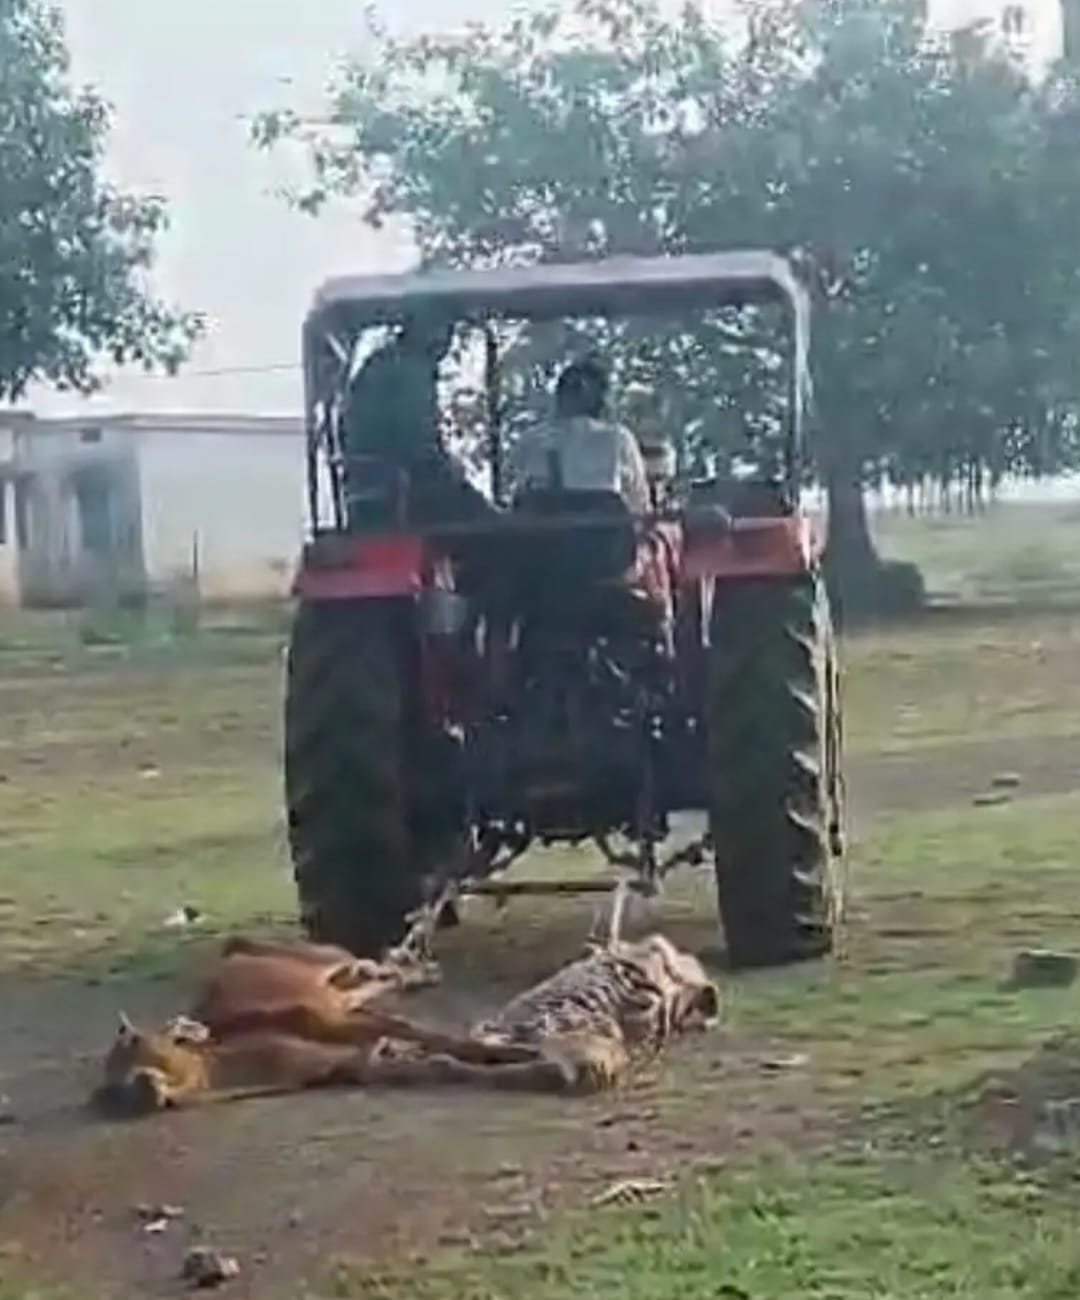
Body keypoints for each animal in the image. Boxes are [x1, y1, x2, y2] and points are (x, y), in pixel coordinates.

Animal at [92, 932, 720, 1117]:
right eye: (105, 1090)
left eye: (135, 1045)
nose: (136, 1092)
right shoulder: (366, 1061)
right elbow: (447, 1062)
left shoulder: (350, 1025)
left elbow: (452, 1042)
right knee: (369, 974)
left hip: (321, 969)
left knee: (368, 969)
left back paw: (412, 966)